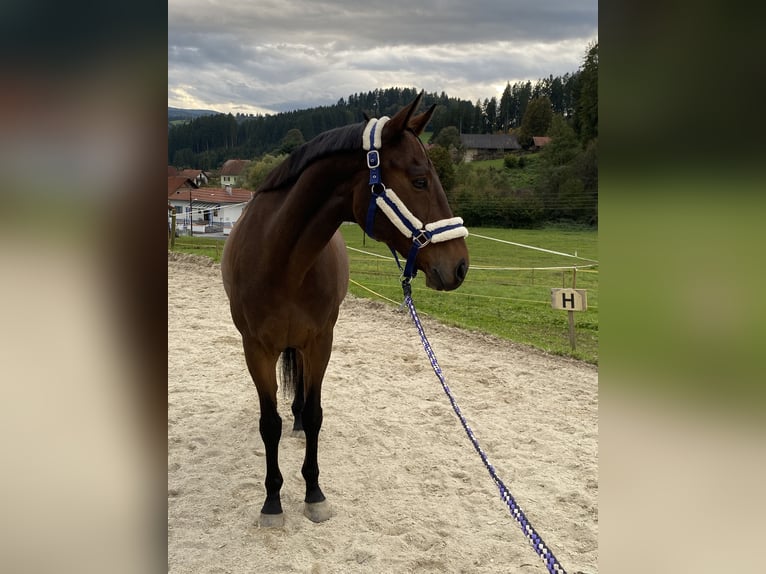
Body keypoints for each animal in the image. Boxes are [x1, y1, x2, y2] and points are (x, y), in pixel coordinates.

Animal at [221, 93, 469, 527]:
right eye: (420, 180)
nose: (460, 265)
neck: (281, 260)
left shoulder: (321, 341)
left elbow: (316, 414)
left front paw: (314, 493)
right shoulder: (256, 349)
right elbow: (269, 424)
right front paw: (272, 500)